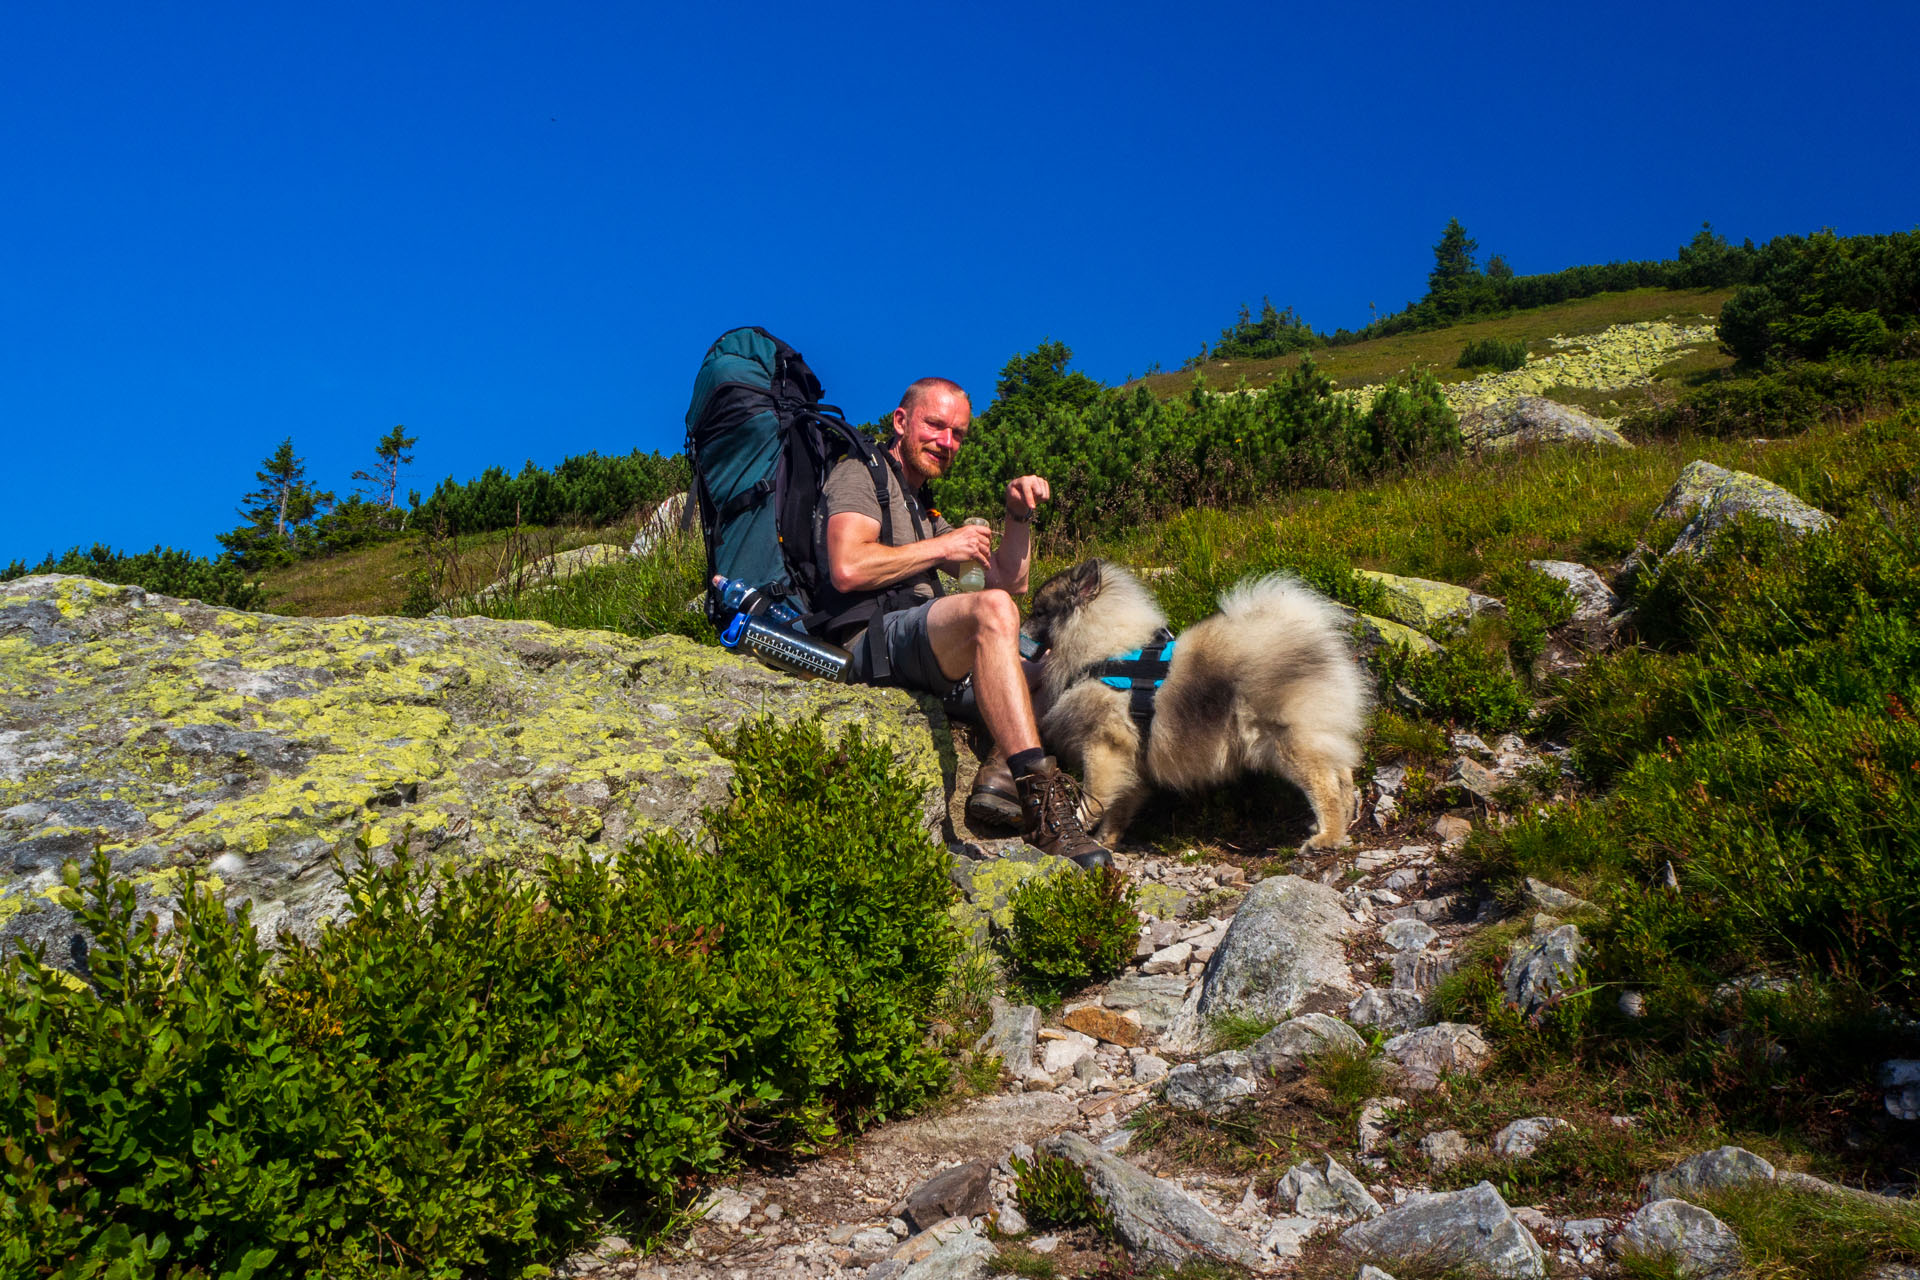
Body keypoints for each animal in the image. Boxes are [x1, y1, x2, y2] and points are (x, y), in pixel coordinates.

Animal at [1029, 560, 1374, 852]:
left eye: (1040, 612)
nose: (1021, 621)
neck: (1106, 652)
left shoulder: (1104, 747)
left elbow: (1094, 796)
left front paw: (1078, 826)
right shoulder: (1132, 762)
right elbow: (1119, 807)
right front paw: (1106, 840)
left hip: (1290, 741)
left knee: (1324, 785)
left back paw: (1326, 837)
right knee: (1342, 776)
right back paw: (1342, 822)